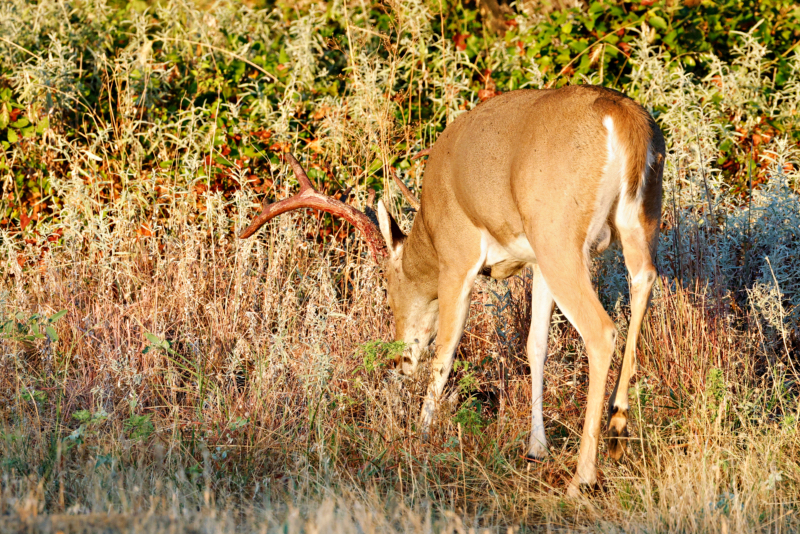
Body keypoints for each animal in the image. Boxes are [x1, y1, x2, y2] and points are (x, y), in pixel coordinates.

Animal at [241, 86, 664, 496]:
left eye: (387, 286)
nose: (400, 360)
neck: (428, 228)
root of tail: (622, 119)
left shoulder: (458, 256)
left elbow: (445, 350)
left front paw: (421, 432)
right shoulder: (535, 262)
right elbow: (535, 345)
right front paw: (536, 449)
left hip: (558, 233)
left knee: (602, 330)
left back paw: (583, 477)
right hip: (635, 222)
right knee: (645, 279)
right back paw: (618, 428)